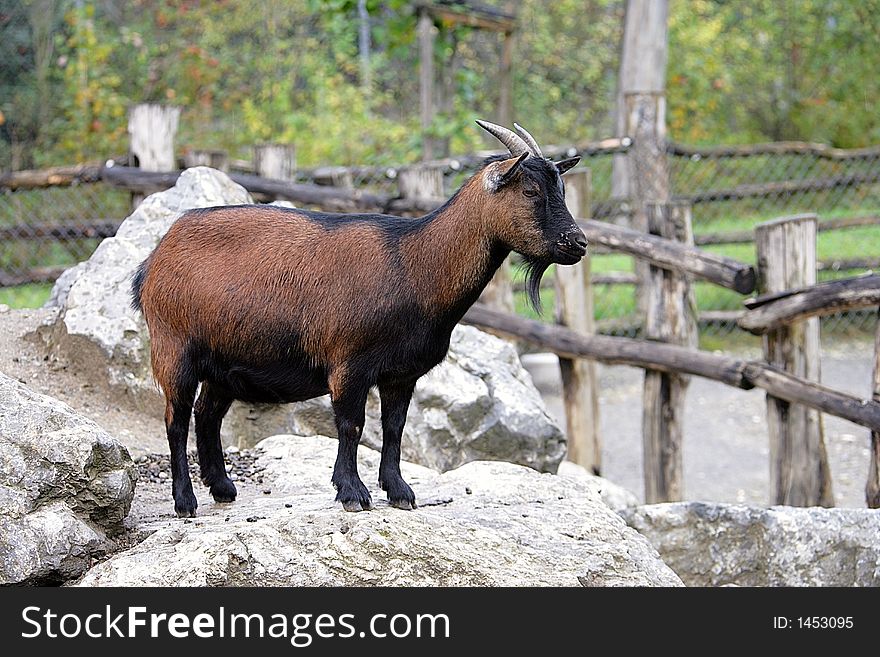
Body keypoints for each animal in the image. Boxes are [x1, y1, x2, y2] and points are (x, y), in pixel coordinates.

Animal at [131, 120, 584, 516]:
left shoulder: (402, 374)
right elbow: (351, 425)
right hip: (174, 348)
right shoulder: (349, 364)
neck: (413, 264)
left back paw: (223, 489)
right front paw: (352, 492)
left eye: (560, 187)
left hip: (224, 361)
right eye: (530, 190)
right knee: (176, 419)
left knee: (207, 414)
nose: (577, 243)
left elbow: (394, 428)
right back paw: (185, 501)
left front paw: (400, 491)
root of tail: (154, 259)